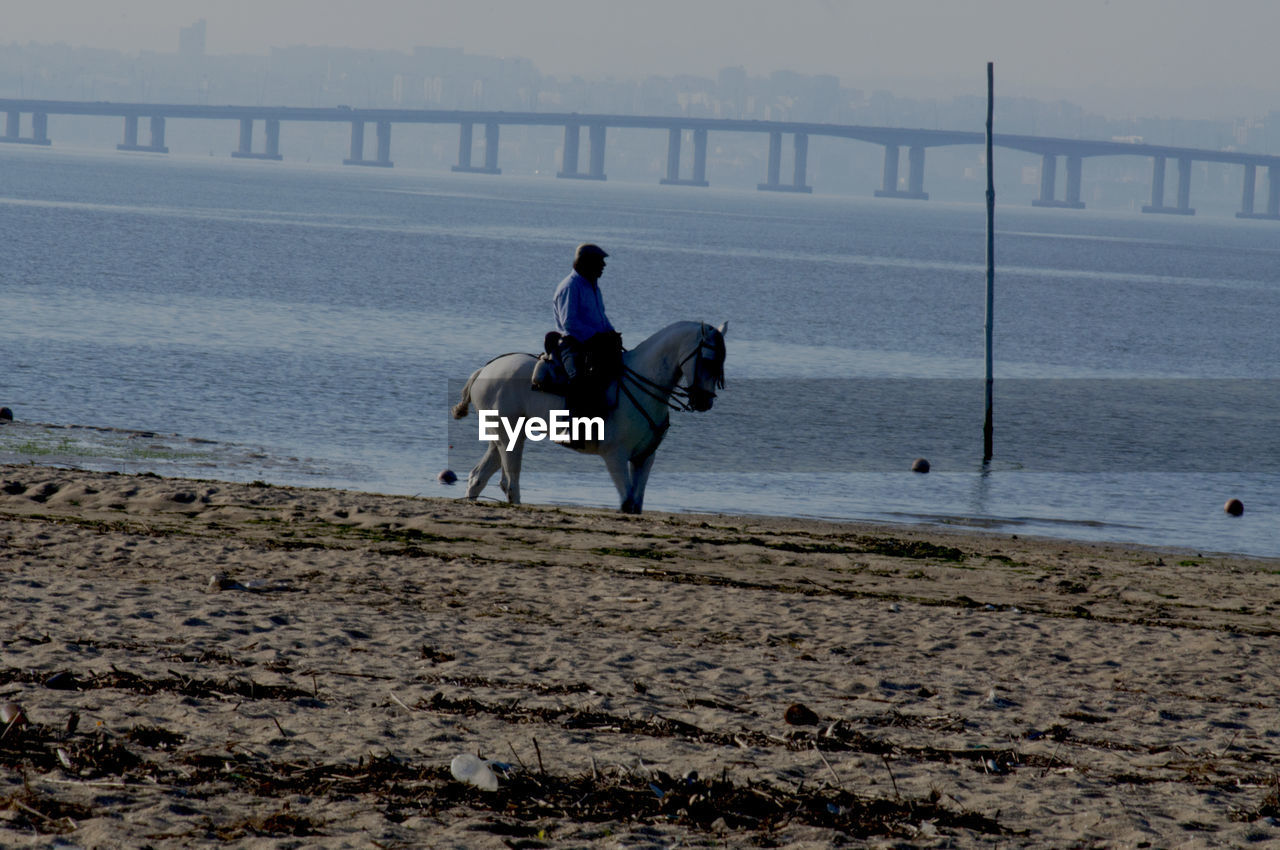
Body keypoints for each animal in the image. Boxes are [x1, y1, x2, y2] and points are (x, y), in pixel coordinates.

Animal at [455, 322, 727, 514]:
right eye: (707, 360)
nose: (704, 401)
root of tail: (484, 370)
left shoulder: (645, 457)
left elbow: (636, 505)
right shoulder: (615, 456)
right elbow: (626, 504)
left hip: (503, 437)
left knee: (478, 477)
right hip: (509, 437)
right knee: (510, 484)